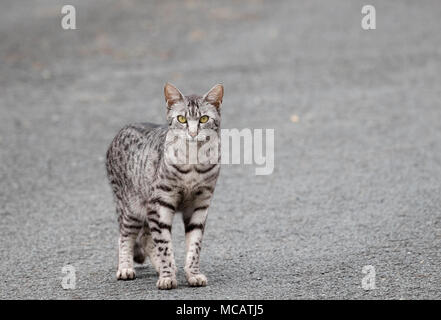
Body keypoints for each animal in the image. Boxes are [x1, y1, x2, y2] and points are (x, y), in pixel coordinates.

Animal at [105, 83, 223, 290]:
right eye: (182, 119)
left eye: (204, 119)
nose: (193, 133)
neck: (193, 162)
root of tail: (120, 131)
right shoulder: (160, 203)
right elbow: (164, 245)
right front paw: (167, 277)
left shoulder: (200, 204)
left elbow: (194, 245)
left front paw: (192, 274)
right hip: (132, 208)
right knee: (125, 236)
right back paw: (126, 267)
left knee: (145, 238)